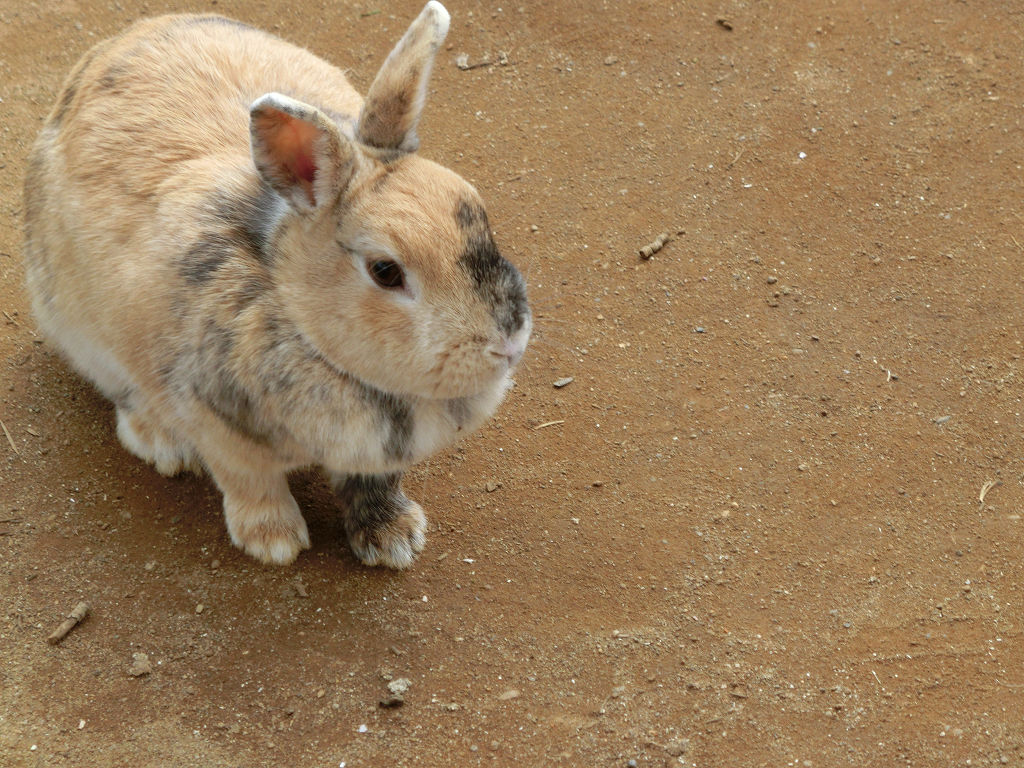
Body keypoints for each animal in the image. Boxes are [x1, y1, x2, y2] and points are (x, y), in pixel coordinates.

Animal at [22, 1, 531, 567]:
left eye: (478, 212)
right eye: (386, 271)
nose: (508, 344)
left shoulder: (374, 460)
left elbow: (374, 483)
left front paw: (394, 538)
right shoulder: (217, 429)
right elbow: (251, 483)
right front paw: (274, 543)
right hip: (84, 336)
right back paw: (162, 445)